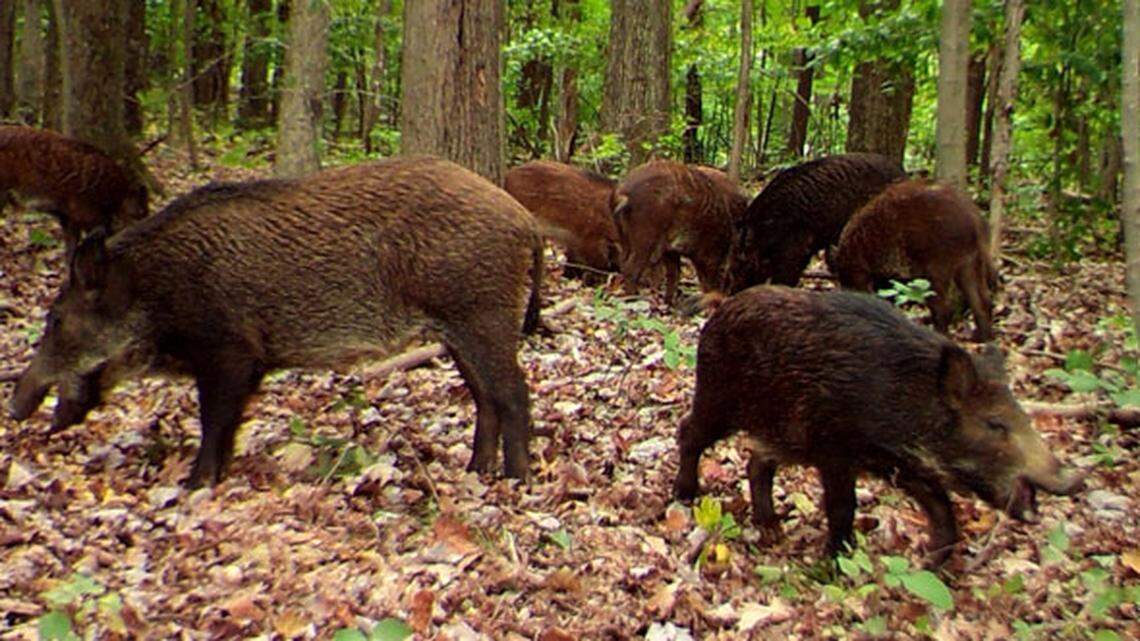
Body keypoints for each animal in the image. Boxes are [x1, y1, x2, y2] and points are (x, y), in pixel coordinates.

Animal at [10, 156, 543, 487]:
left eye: (56, 318)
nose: (14, 407)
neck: (154, 289)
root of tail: (523, 219)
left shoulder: (230, 351)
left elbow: (215, 419)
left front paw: (194, 485)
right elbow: (227, 425)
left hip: (482, 315)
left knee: (514, 393)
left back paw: (517, 481)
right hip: (458, 330)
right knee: (486, 398)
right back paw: (475, 471)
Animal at [612, 161, 748, 305]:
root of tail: (624, 194)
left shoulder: (670, 249)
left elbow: (674, 273)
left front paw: (669, 303)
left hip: (625, 236)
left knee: (623, 262)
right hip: (645, 237)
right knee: (631, 267)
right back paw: (632, 298)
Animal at [673, 286, 1083, 568]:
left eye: (1023, 416)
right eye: (994, 423)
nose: (1075, 480)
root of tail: (720, 310)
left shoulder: (902, 466)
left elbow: (943, 512)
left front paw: (929, 567)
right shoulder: (836, 451)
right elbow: (843, 508)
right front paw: (833, 566)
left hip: (780, 431)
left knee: (757, 461)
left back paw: (772, 529)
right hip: (717, 400)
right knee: (688, 432)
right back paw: (685, 496)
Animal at [833, 180, 999, 342]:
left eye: (847, 280)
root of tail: (974, 218)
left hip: (939, 262)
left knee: (942, 304)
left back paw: (941, 333)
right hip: (970, 259)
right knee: (981, 297)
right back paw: (983, 336)